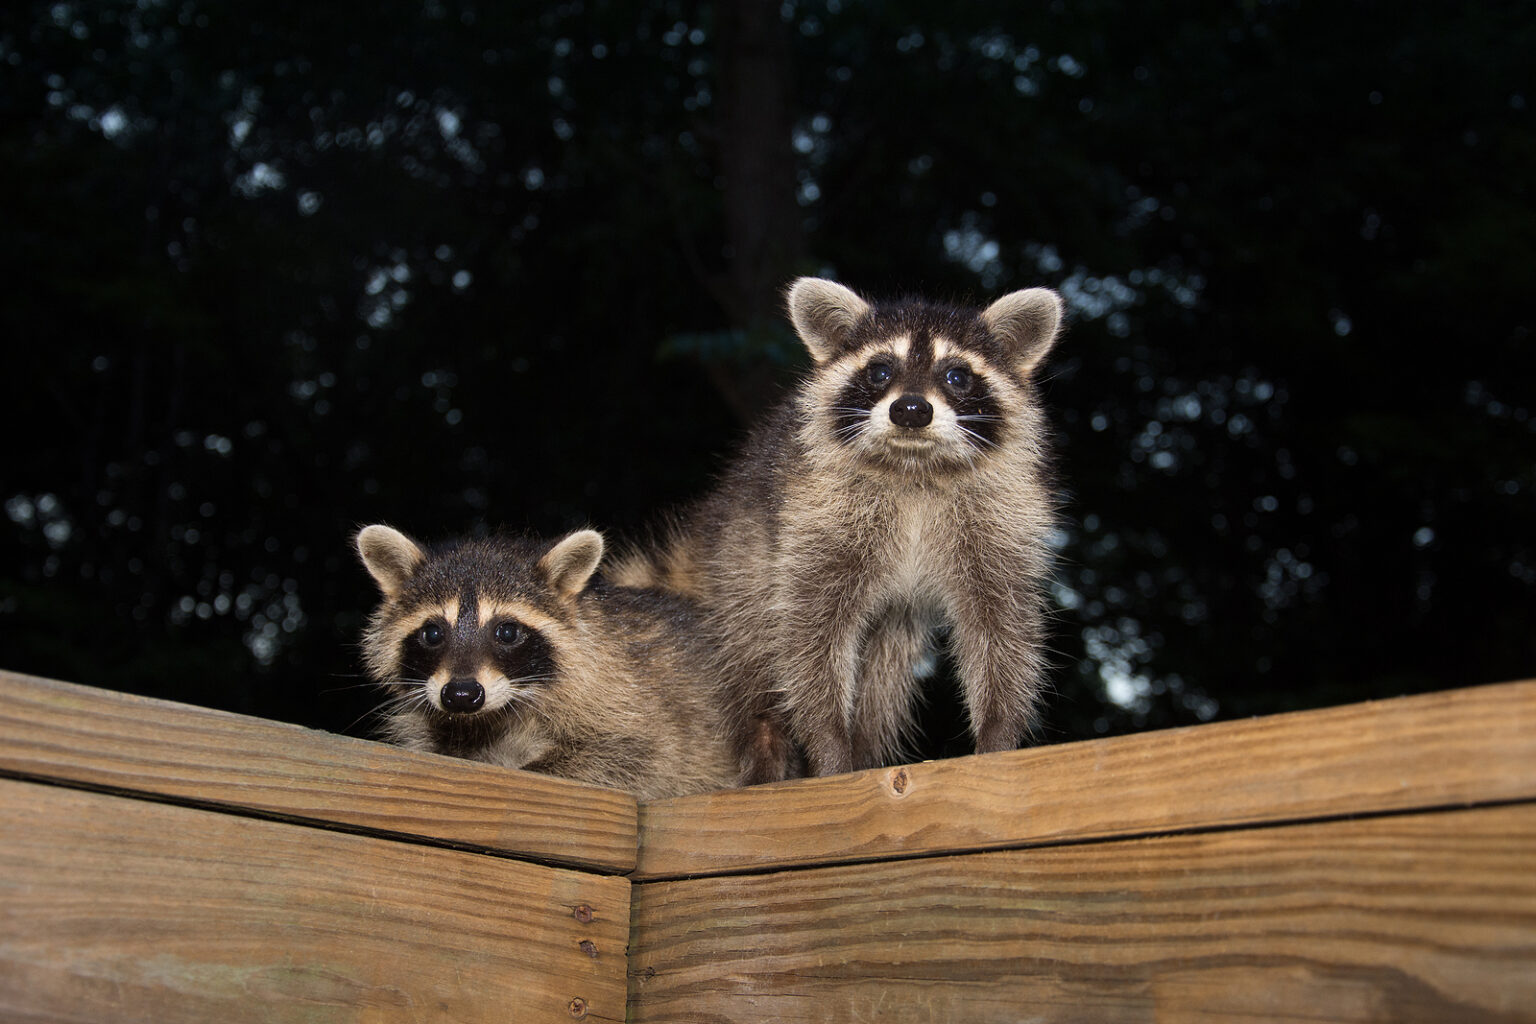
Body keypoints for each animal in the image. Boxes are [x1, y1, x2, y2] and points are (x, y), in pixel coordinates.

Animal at [356, 524, 738, 800]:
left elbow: (638, 753)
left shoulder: (631, 698)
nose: (461, 695)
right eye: (433, 633)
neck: (489, 718)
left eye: (507, 632)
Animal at [612, 277, 1065, 781]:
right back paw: (766, 751)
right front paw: (828, 744)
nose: (911, 409)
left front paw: (998, 733)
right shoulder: (815, 516)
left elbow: (1001, 627)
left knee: (884, 682)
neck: (913, 468)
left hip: (891, 624)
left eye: (957, 376)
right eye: (880, 371)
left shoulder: (998, 521)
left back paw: (865, 746)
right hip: (743, 564)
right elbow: (811, 634)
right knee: (754, 657)